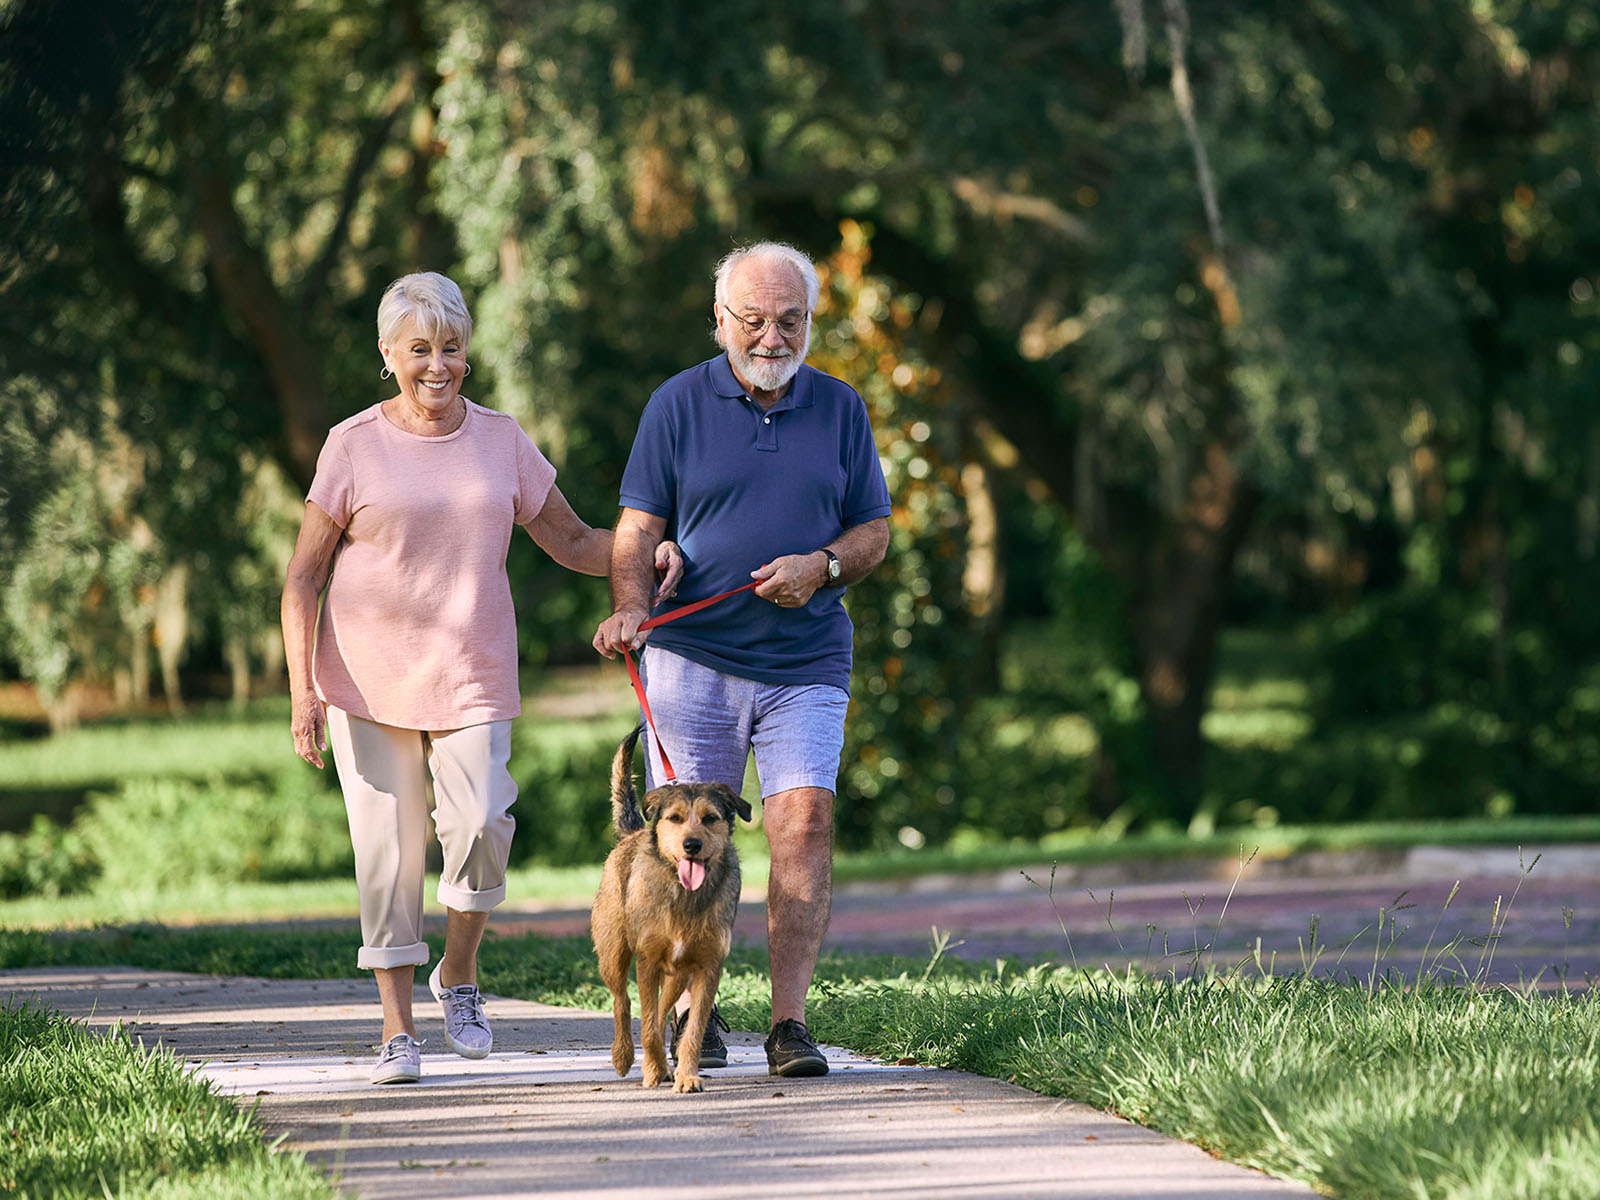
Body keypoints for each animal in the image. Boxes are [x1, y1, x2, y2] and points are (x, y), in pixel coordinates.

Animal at [592, 729, 752, 1094]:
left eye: (710, 818)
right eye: (674, 818)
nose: (691, 845)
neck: (684, 896)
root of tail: (634, 832)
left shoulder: (708, 968)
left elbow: (691, 1030)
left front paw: (687, 1076)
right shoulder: (647, 962)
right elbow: (649, 1026)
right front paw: (652, 1070)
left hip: (677, 976)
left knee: (664, 1010)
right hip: (613, 952)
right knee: (623, 1002)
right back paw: (624, 1056)